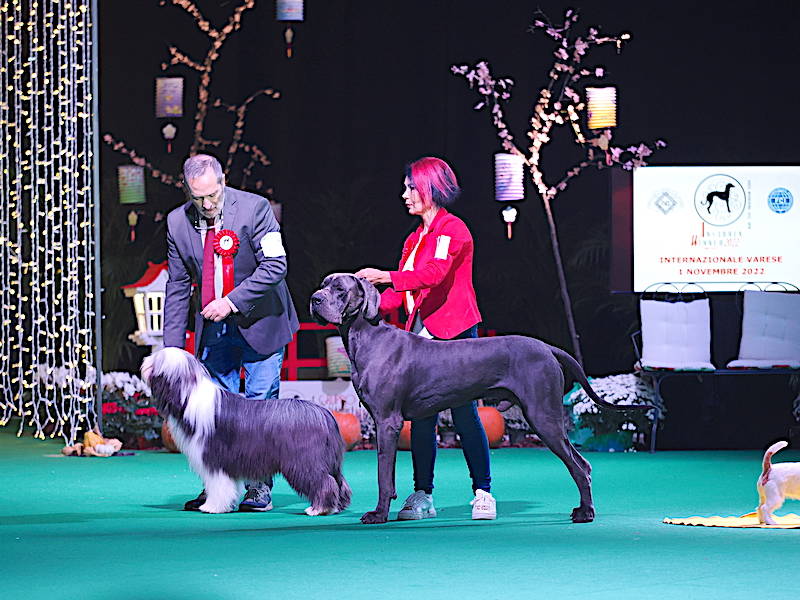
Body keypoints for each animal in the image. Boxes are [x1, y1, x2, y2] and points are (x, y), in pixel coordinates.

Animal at [142, 346, 348, 516]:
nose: (144, 360)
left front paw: (212, 507)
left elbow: (218, 484)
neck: (189, 395)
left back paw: (319, 509)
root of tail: (323, 414)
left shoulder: (215, 458)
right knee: (338, 481)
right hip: (327, 460)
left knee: (324, 481)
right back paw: (336, 506)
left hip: (304, 460)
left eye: (157, 359)